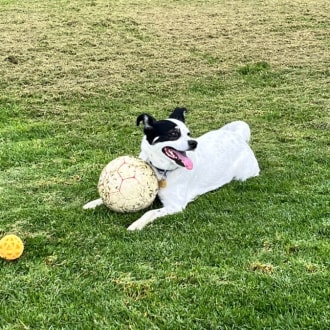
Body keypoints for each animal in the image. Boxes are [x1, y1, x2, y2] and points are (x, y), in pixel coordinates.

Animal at [83, 107, 260, 229]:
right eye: (174, 134)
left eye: (188, 133)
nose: (194, 143)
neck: (162, 171)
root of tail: (238, 136)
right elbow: (104, 198)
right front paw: (92, 203)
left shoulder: (175, 205)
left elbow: (150, 212)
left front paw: (137, 224)